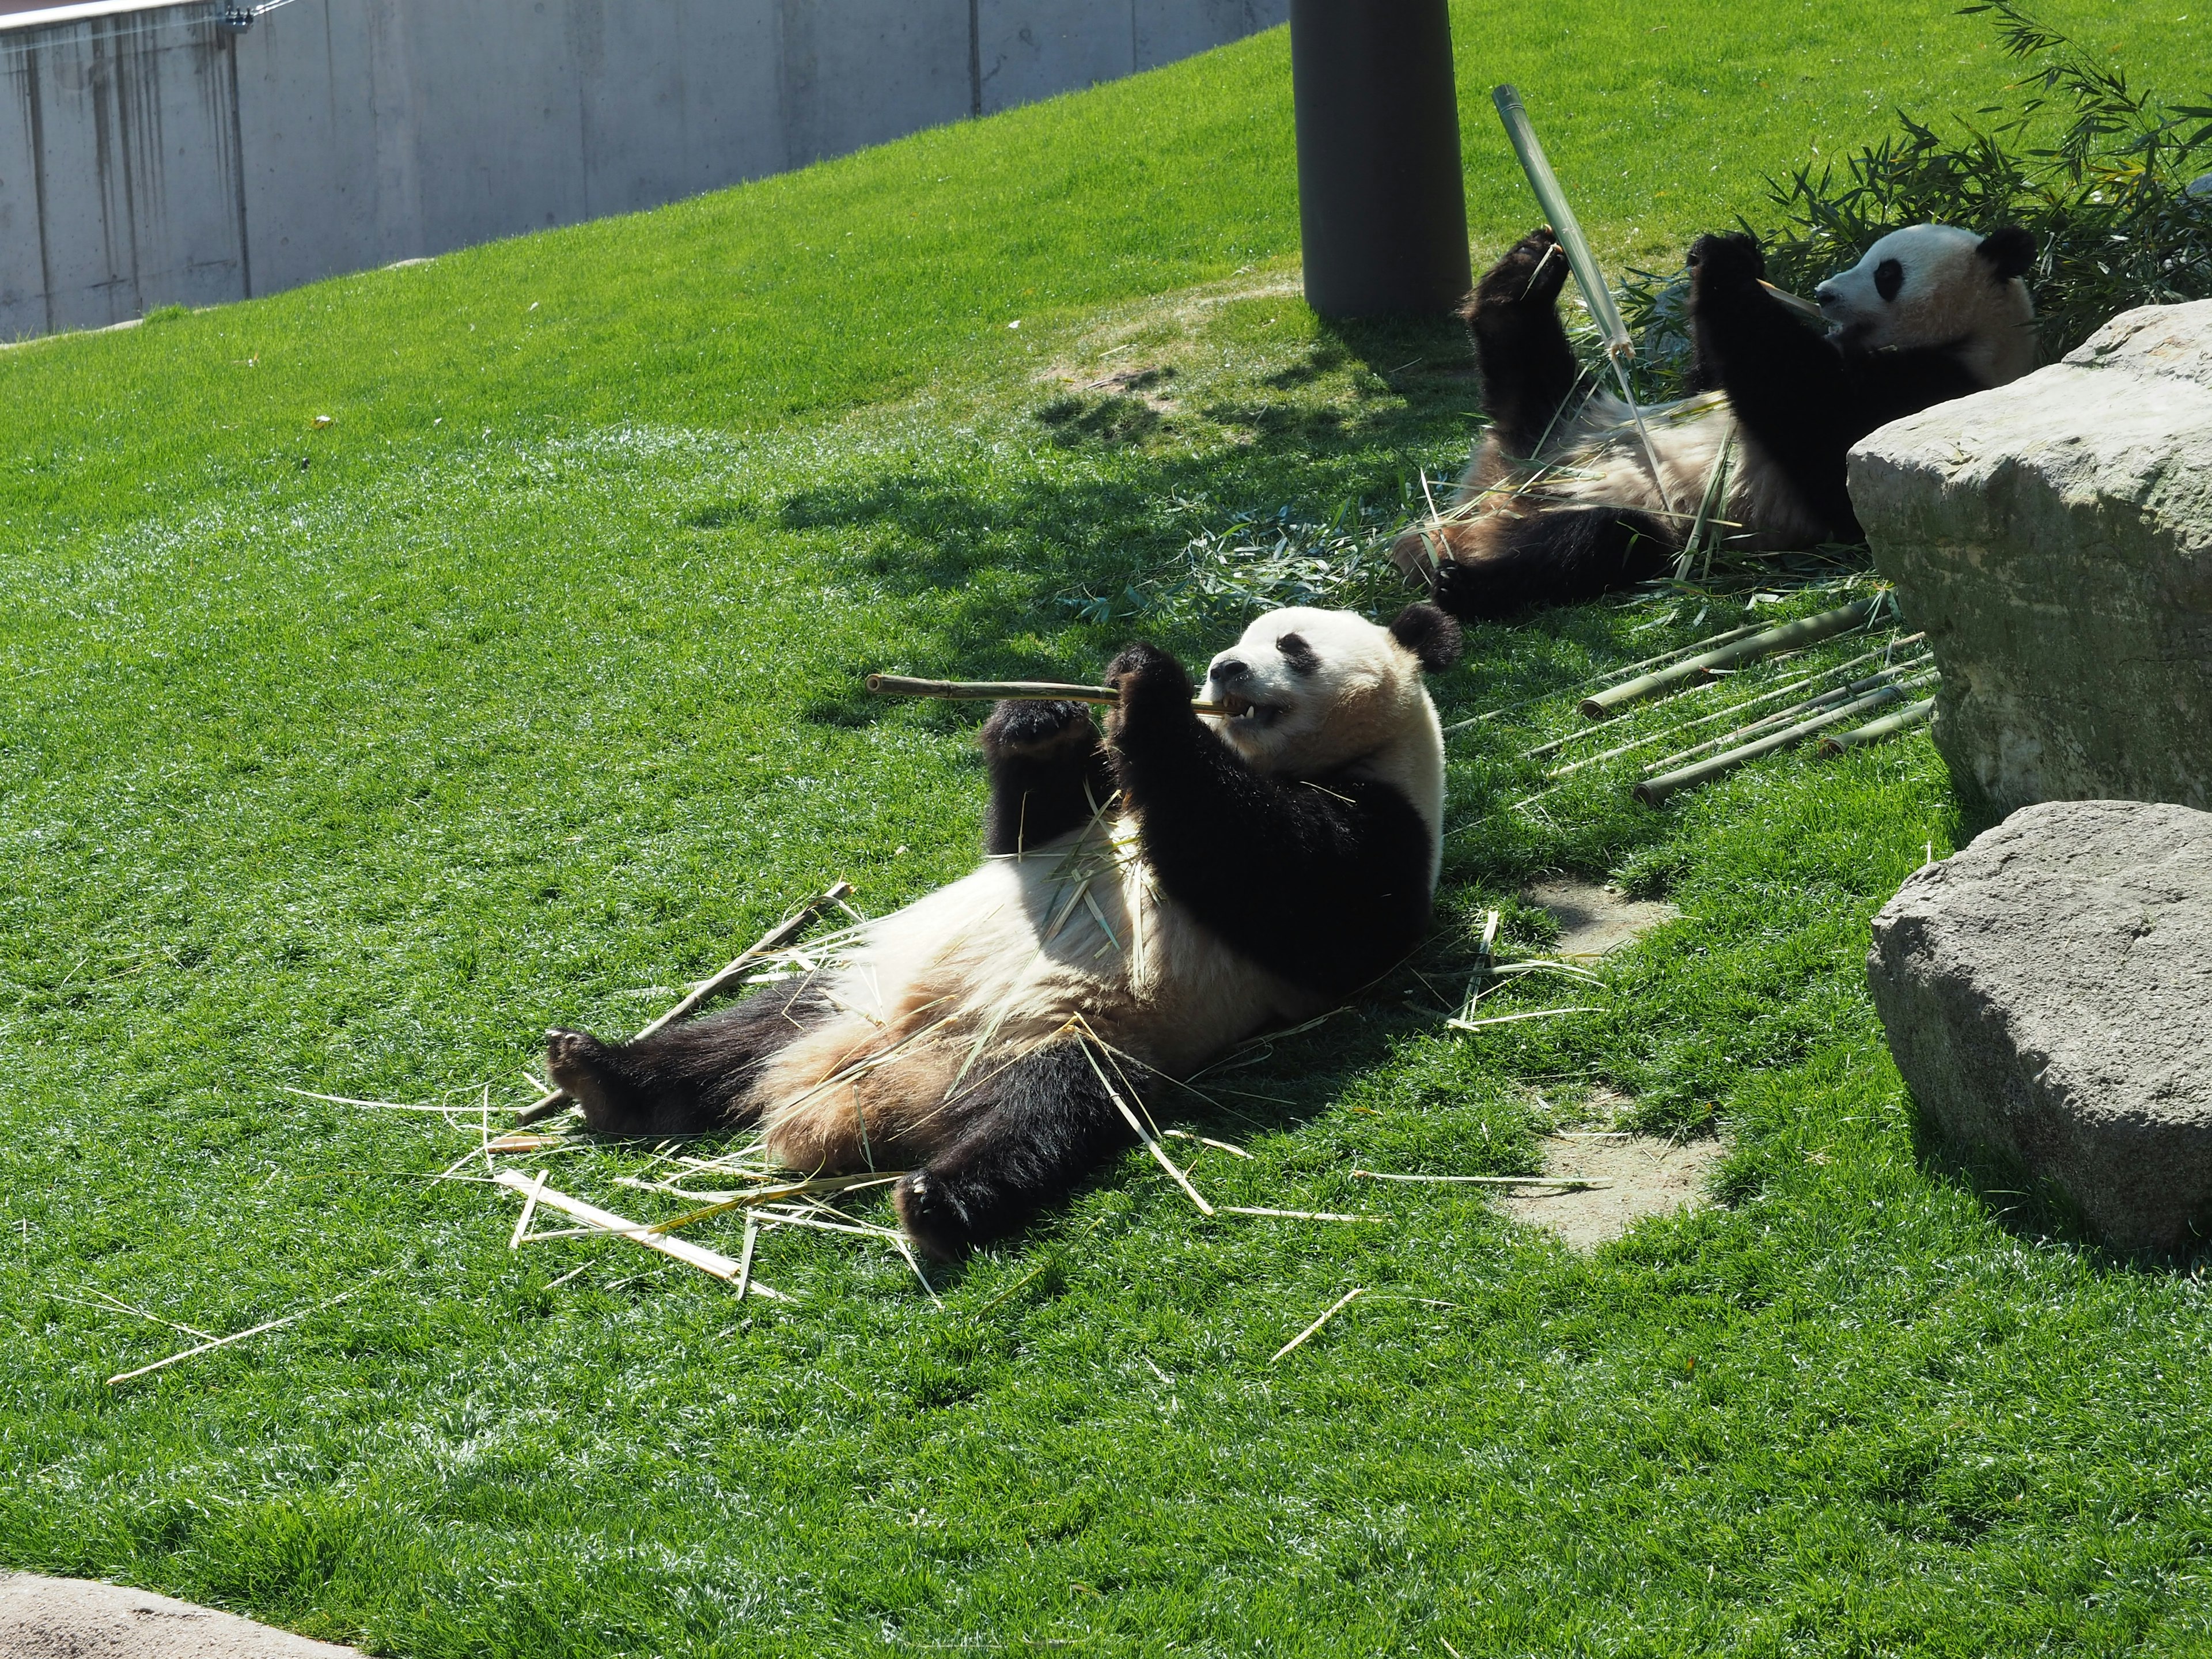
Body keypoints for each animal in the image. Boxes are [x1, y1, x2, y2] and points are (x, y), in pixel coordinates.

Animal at [541, 597, 1460, 1256]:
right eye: (1237, 637)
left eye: (1293, 647)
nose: (1225, 666)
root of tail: (897, 1074)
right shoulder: (1092, 816)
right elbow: (1031, 831)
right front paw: (1045, 718)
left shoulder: (1383, 832)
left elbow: (1284, 885)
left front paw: (1149, 689)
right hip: (855, 990)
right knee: (739, 1032)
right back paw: (598, 1070)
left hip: (1079, 1039)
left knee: (1035, 1121)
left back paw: (937, 1201)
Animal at [1397, 218, 2035, 615]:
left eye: (1888, 273)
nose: (1824, 293)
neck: (1975, 341)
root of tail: (1491, 499)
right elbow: (1712, 378)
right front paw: (1734, 251)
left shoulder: (1931, 398)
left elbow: (1814, 420)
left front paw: (1726, 263)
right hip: (1570, 420)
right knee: (1535, 374)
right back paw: (1524, 276)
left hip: (1659, 523)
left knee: (1602, 541)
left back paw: (1463, 582)